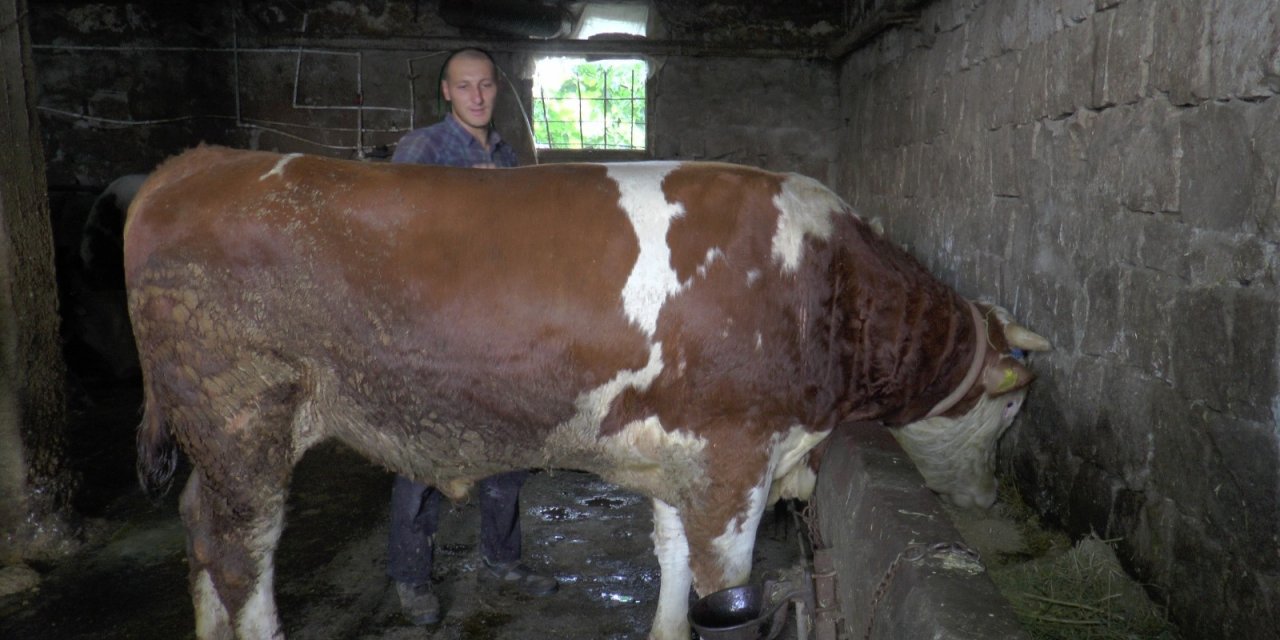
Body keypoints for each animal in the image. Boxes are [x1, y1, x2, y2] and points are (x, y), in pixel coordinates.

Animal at [124, 146, 1049, 640]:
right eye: (1009, 409)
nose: (988, 499)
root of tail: (193, 163)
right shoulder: (739, 454)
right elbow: (724, 581)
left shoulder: (689, 447)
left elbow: (673, 559)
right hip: (243, 415)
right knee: (242, 554)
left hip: (216, 431)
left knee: (201, 532)